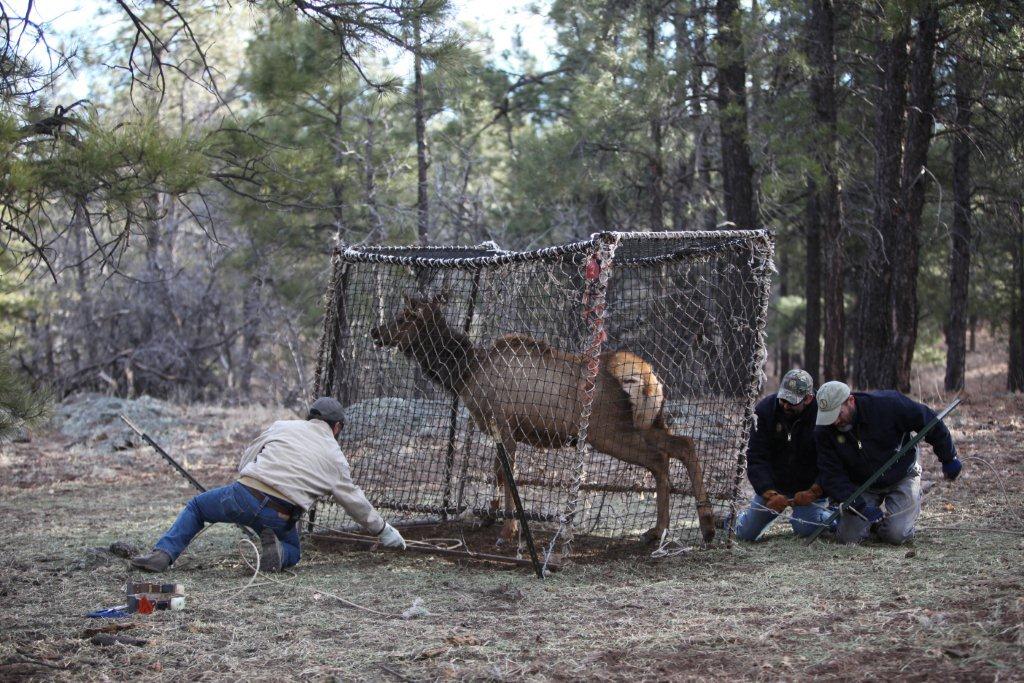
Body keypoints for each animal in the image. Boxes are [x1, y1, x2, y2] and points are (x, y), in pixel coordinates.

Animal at [372, 292, 716, 544]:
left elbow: (506, 474)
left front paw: (509, 530)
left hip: (607, 432)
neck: (464, 374)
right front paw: (489, 517)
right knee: (684, 445)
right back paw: (699, 525)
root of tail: (648, 378)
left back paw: (667, 529)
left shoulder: (503, 424)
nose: (376, 331)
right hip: (648, 422)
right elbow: (496, 473)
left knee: (658, 458)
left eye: (403, 318)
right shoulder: (500, 430)